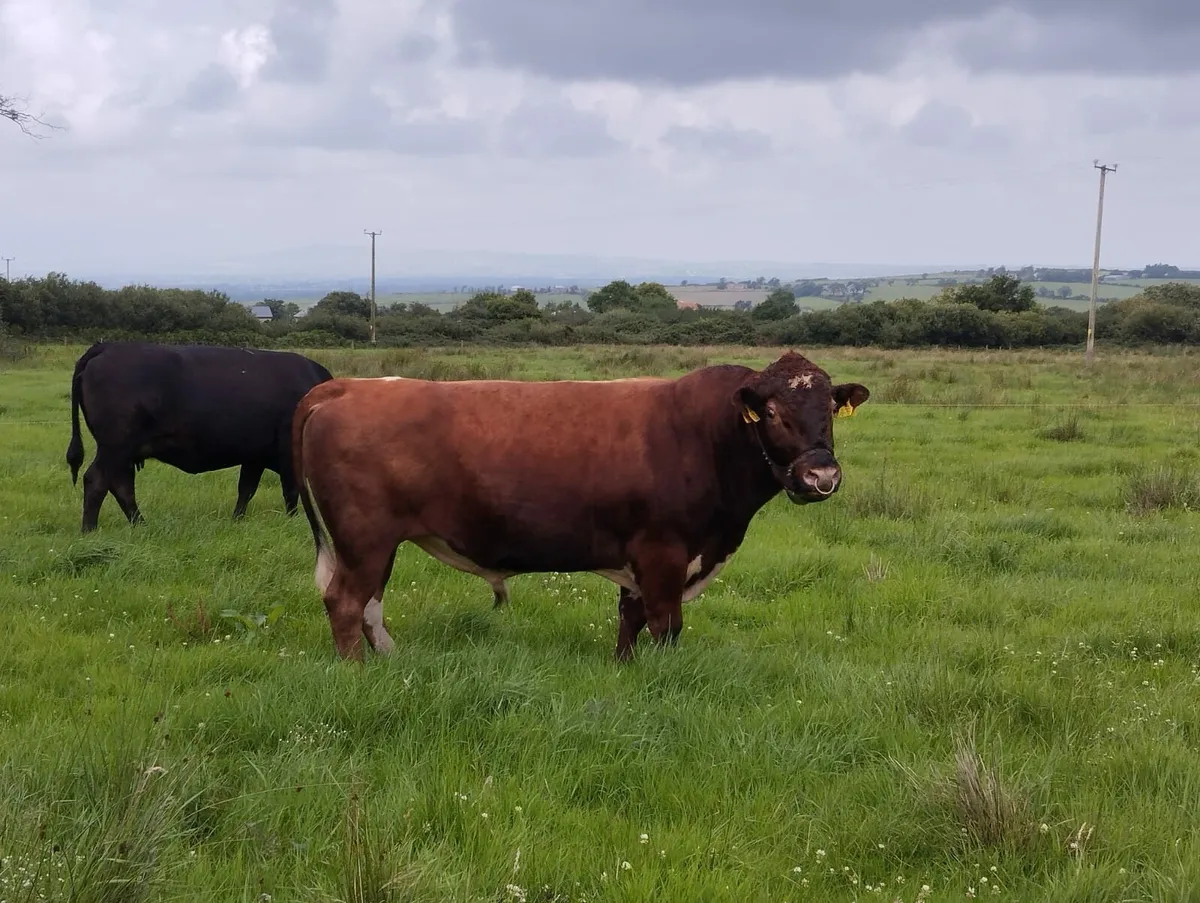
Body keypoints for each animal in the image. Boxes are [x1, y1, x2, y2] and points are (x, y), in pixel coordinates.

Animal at [66, 341, 334, 533]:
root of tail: (109, 346)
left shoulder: (254, 455)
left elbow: (246, 489)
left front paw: (237, 520)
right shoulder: (287, 450)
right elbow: (291, 491)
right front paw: (293, 521)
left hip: (124, 451)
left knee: (121, 485)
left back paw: (141, 525)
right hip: (115, 445)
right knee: (97, 480)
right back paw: (89, 531)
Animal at [291, 350, 869, 662]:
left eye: (828, 408)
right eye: (770, 412)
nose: (821, 476)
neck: (704, 435)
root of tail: (344, 387)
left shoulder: (641, 556)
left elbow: (630, 620)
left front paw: (625, 670)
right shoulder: (663, 551)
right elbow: (665, 625)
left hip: (374, 543)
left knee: (368, 604)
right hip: (365, 538)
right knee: (346, 602)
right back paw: (358, 672)